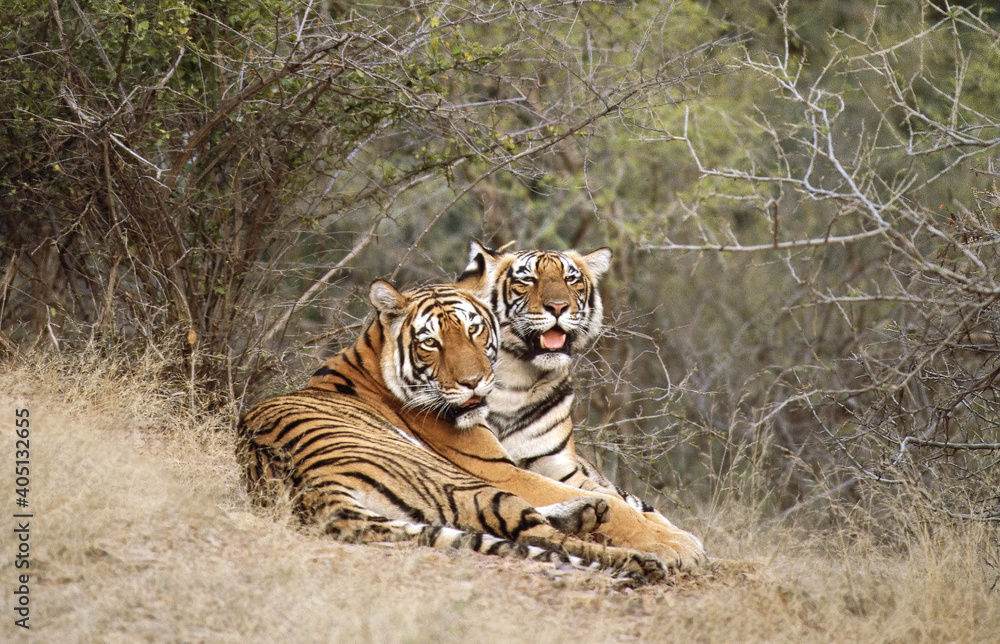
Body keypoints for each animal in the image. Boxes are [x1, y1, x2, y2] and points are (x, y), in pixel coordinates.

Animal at [237, 280, 667, 583]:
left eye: (474, 331)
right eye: (430, 342)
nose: (473, 382)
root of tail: (313, 488)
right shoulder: (498, 469)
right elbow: (620, 507)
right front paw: (665, 542)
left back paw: (588, 511)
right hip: (455, 479)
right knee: (537, 533)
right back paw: (639, 559)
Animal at [455, 241, 706, 569]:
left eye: (570, 280)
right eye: (528, 280)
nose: (558, 307)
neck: (517, 381)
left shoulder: (560, 468)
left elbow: (624, 508)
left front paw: (679, 542)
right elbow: (619, 510)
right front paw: (672, 546)